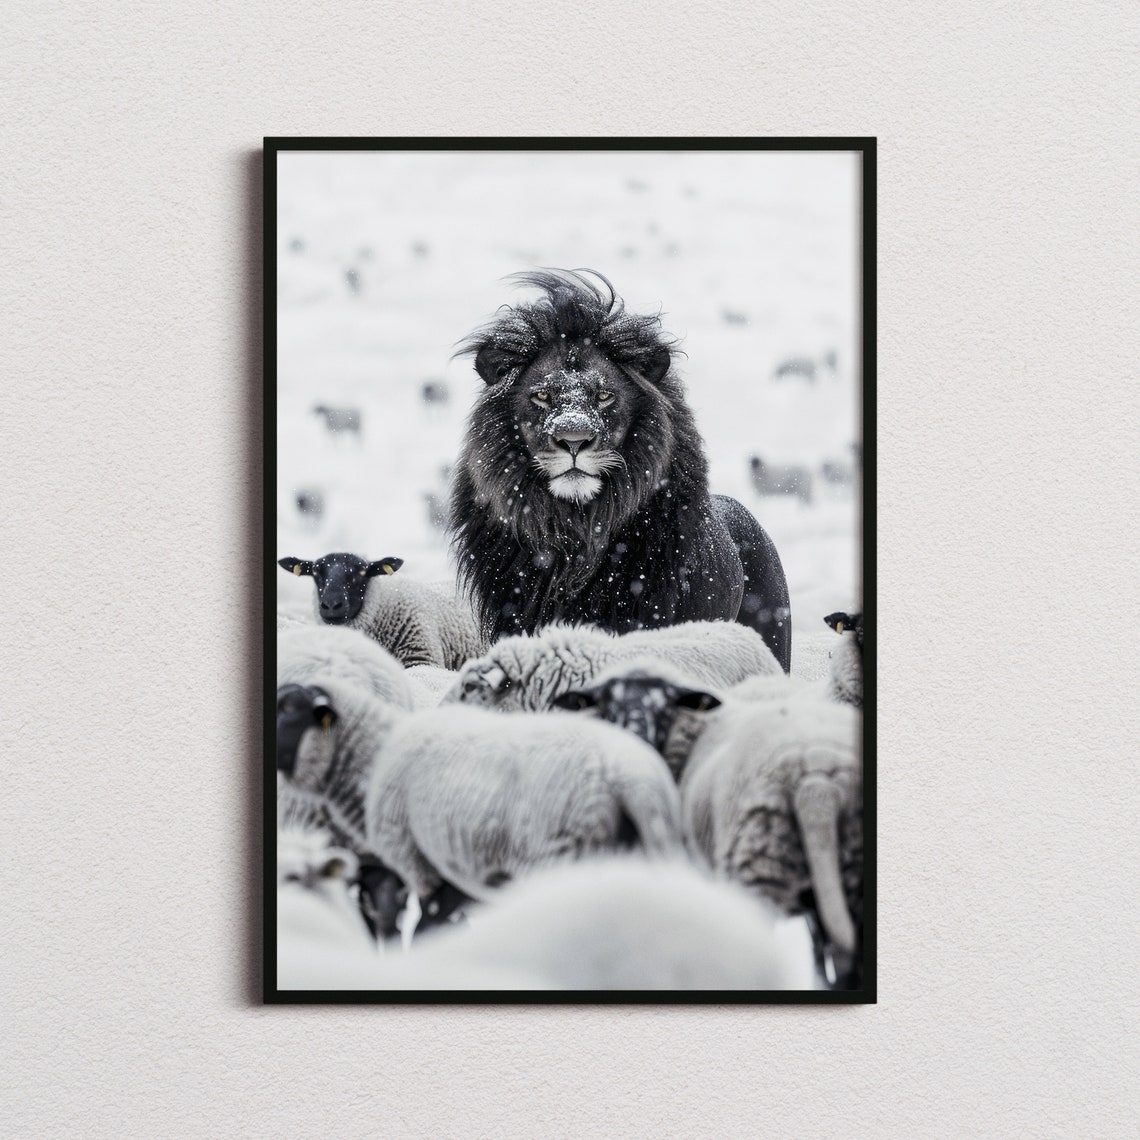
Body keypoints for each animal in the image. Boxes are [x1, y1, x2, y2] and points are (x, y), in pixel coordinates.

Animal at [275, 677, 683, 937]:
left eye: (289, 711)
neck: (374, 755)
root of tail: (629, 777)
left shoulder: (417, 864)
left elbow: (416, 927)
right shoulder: (457, 875)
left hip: (561, 857)